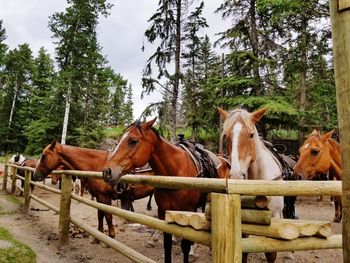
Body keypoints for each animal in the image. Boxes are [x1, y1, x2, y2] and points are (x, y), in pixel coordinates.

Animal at [102, 119, 231, 263]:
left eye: (133, 141)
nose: (107, 171)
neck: (174, 173)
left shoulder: (188, 210)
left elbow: (185, 245)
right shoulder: (163, 211)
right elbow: (167, 243)